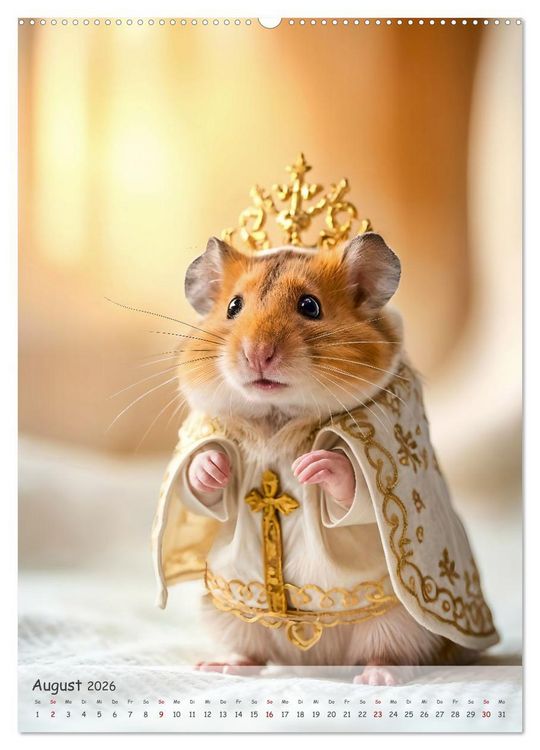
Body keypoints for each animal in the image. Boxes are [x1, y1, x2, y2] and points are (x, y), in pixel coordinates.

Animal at [165, 234, 481, 684]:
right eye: (233, 307)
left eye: (310, 306)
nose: (257, 354)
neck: (278, 415)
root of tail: (311, 661)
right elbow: (203, 488)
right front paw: (212, 465)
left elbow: (354, 487)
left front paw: (312, 466)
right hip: (229, 615)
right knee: (252, 649)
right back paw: (223, 665)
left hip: (399, 621)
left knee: (393, 651)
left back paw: (377, 677)